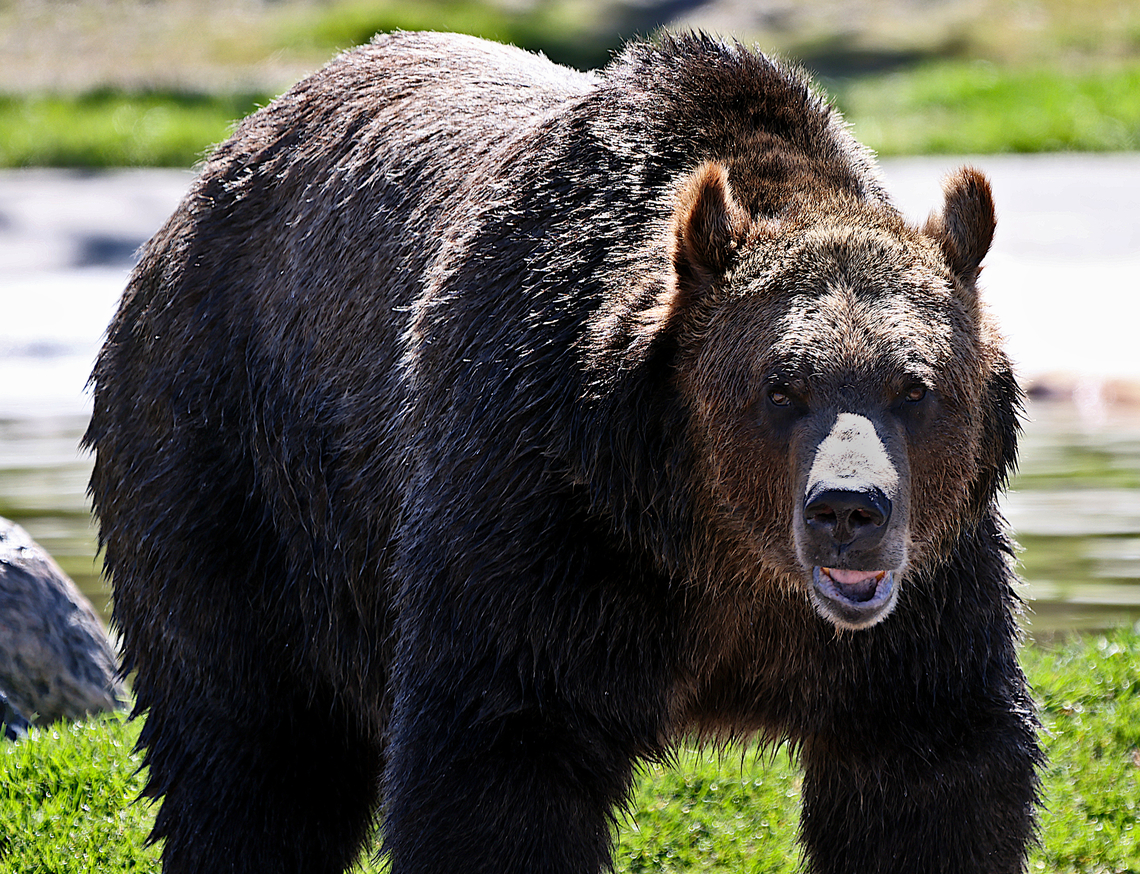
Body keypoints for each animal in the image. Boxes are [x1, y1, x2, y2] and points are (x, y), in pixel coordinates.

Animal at [85, 31, 1041, 874]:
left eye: (913, 388)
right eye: (781, 388)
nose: (849, 510)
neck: (708, 549)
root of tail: (207, 176)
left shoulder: (925, 598)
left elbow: (931, 771)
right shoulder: (539, 517)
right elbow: (498, 758)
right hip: (229, 467)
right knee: (251, 748)